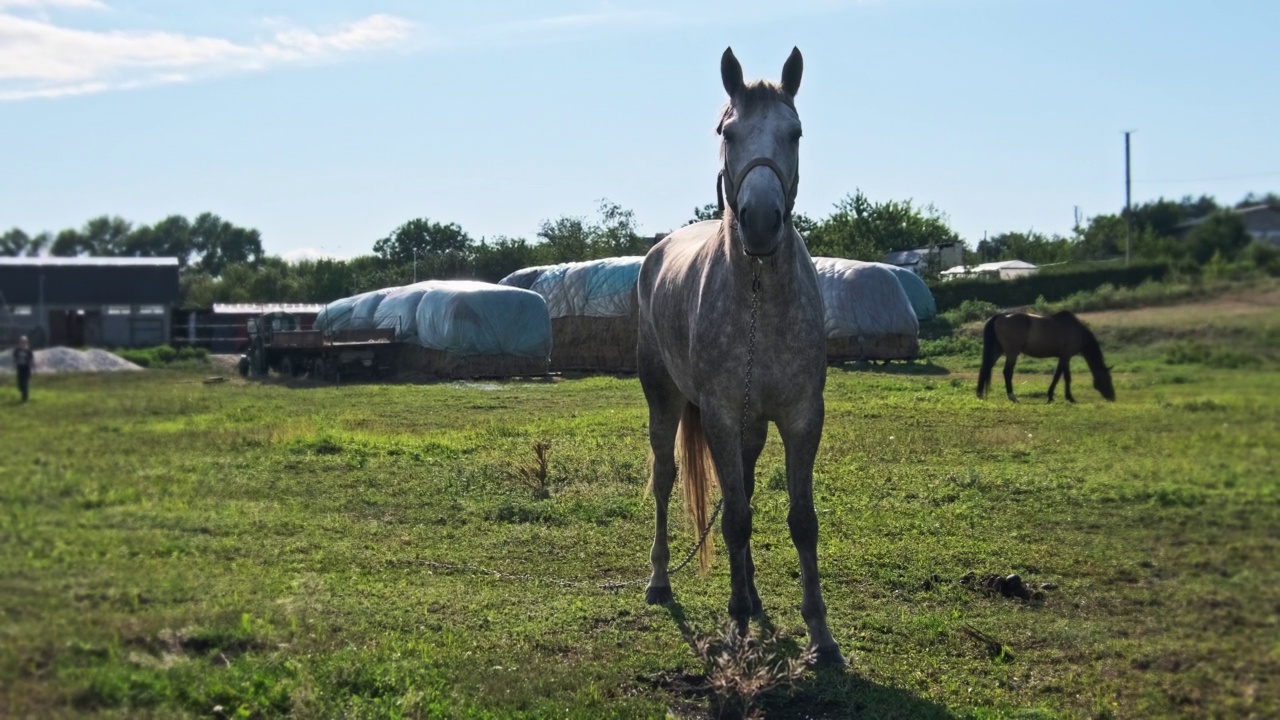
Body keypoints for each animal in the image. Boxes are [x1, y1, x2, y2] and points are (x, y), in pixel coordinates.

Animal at [634, 46, 844, 666]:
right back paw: (661, 581)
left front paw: (821, 635)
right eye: (729, 133)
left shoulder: (801, 417)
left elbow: (800, 520)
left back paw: (752, 593)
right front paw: (737, 625)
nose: (759, 221)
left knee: (743, 491)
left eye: (795, 133)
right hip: (664, 403)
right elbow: (732, 522)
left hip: (751, 427)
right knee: (666, 479)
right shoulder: (722, 419)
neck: (758, 295)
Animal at [972, 311, 1116, 404]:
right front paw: (1066, 398)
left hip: (998, 350)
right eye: (1107, 379)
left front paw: (1056, 396)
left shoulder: (1064, 357)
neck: (1077, 331)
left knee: (985, 368)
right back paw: (1013, 397)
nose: (1112, 397)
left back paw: (979, 395)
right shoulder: (1066, 356)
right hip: (1012, 353)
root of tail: (1001, 316)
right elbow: (1062, 377)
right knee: (1007, 372)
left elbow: (1060, 376)